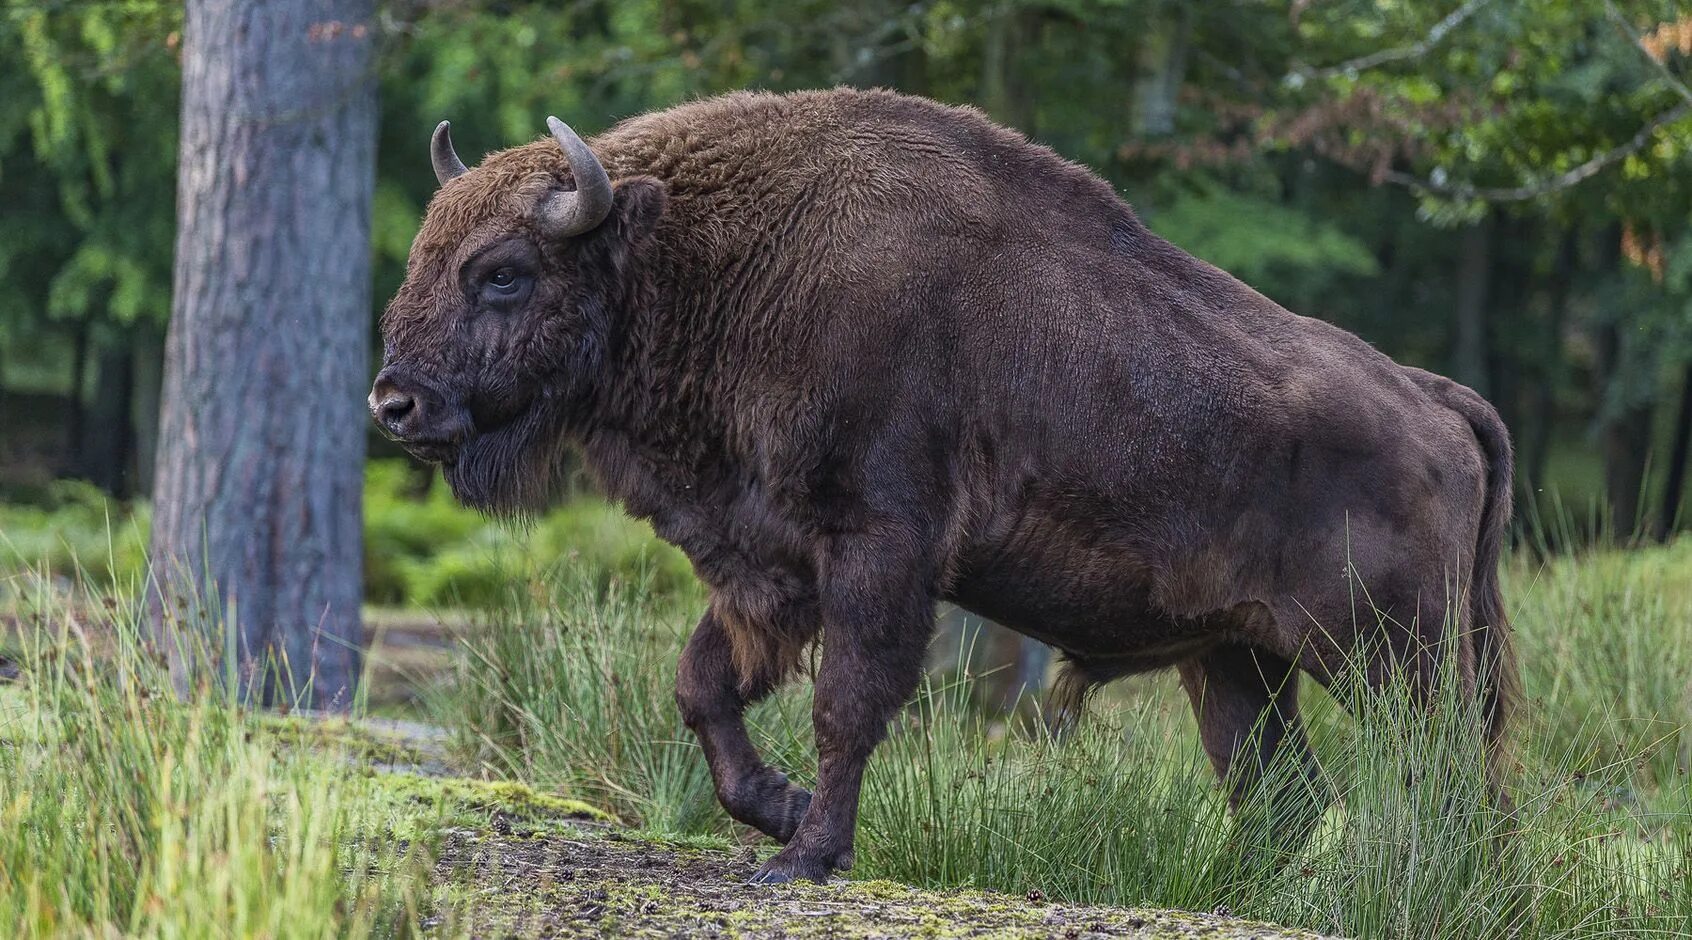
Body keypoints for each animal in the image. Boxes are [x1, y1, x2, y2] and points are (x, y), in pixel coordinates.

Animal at [373, 86, 1522, 879]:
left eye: (503, 272)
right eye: (424, 252)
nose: (395, 405)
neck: (715, 258)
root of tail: (1432, 399)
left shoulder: (877, 551)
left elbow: (847, 703)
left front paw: (807, 854)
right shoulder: (768, 562)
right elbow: (704, 686)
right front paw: (779, 812)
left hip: (1391, 658)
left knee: (1448, 779)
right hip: (1238, 661)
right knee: (1280, 793)